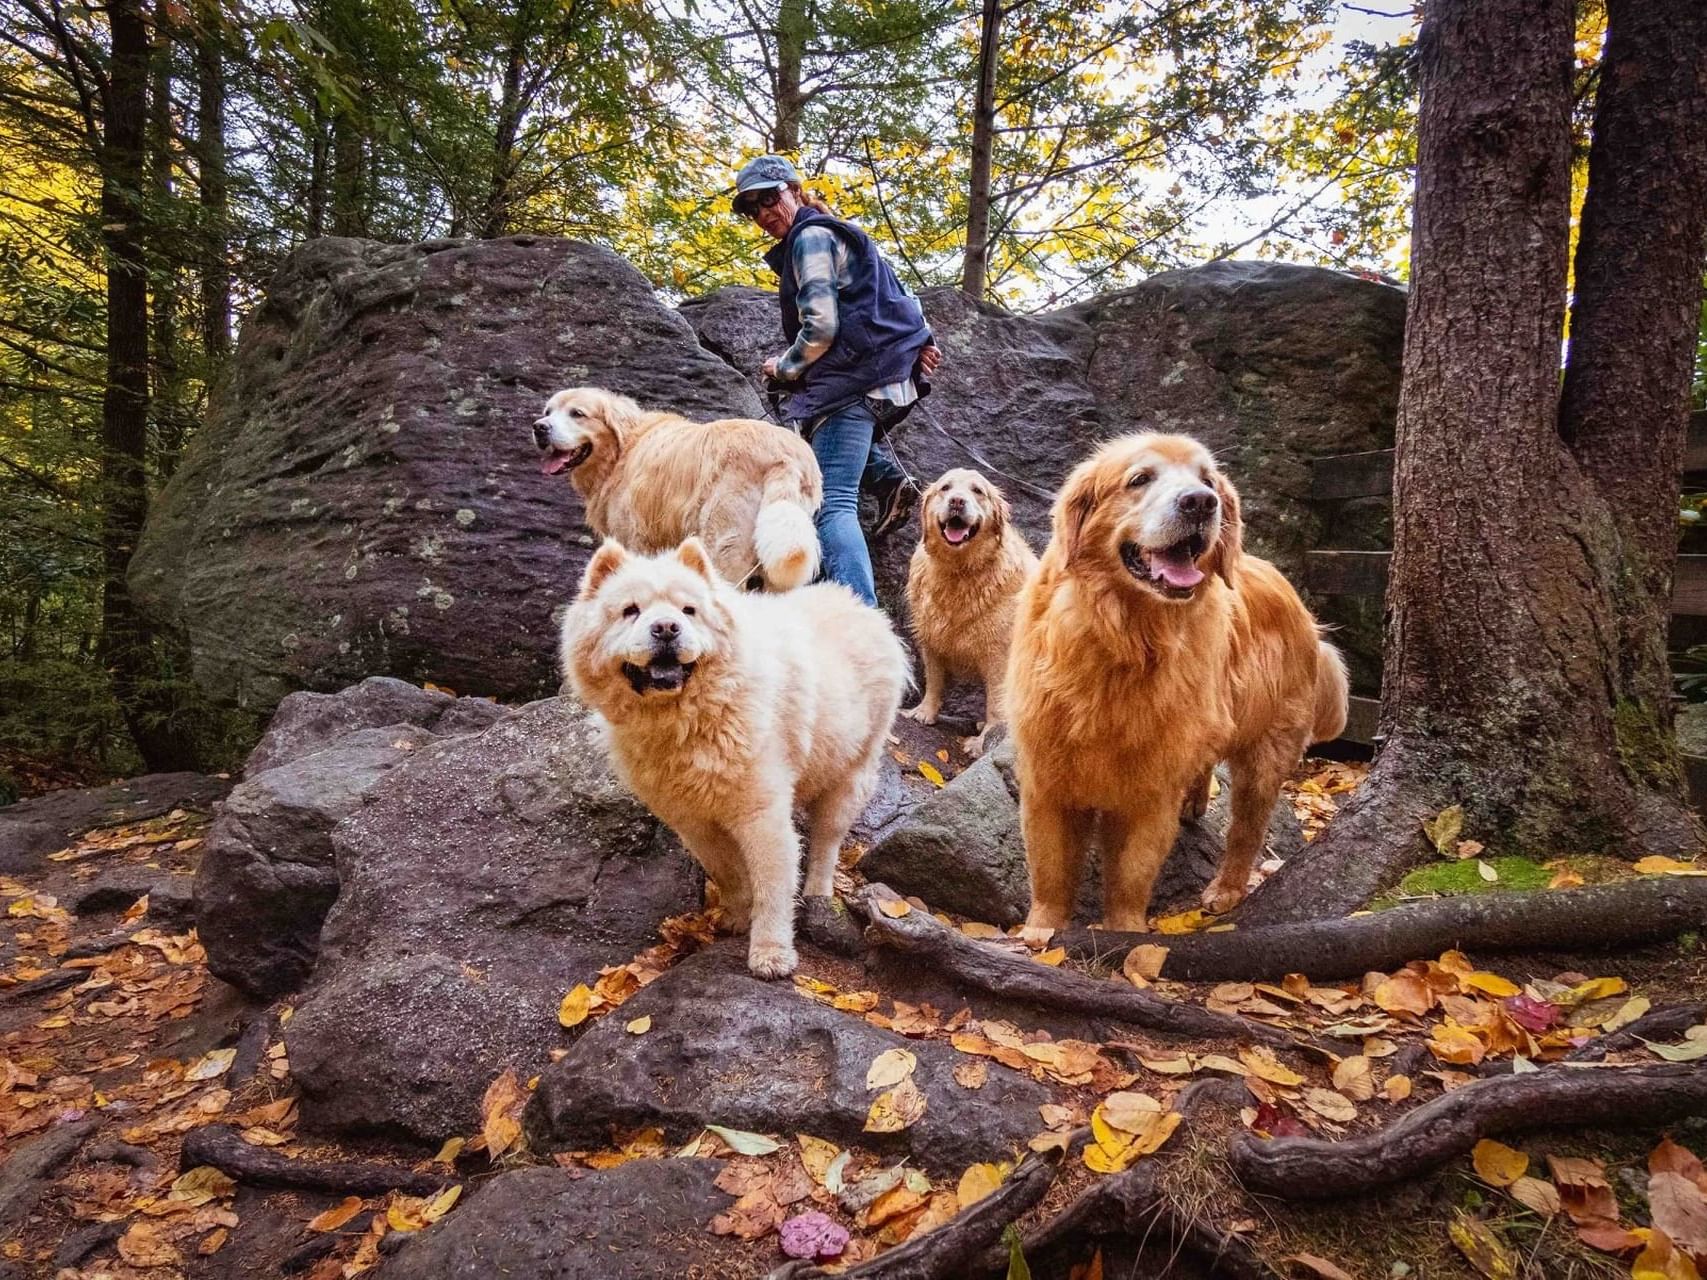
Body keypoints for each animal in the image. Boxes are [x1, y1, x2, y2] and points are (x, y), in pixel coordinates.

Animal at [535, 389, 822, 593]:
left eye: (577, 413)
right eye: (548, 411)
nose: (539, 427)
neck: (623, 448)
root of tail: (786, 455)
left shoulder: (636, 540)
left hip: (723, 546)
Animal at [556, 535, 908, 976]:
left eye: (688, 610)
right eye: (630, 611)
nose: (666, 628)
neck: (685, 722)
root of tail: (862, 608)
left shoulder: (761, 812)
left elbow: (772, 885)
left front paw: (771, 954)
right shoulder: (693, 820)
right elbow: (728, 873)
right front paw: (737, 916)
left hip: (850, 772)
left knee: (827, 842)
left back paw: (818, 894)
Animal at [901, 467, 1031, 757]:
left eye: (977, 491)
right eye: (945, 488)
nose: (957, 502)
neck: (959, 572)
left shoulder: (999, 654)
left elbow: (996, 703)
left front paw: (981, 743)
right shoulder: (931, 636)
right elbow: (934, 678)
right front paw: (924, 712)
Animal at [996, 440, 1345, 935]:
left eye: (1207, 479)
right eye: (1140, 478)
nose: (1201, 502)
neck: (1125, 641)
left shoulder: (1149, 792)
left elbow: (1132, 872)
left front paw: (1124, 933)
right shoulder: (1048, 779)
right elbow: (1049, 870)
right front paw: (1041, 932)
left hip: (1266, 752)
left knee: (1247, 829)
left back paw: (1226, 888)